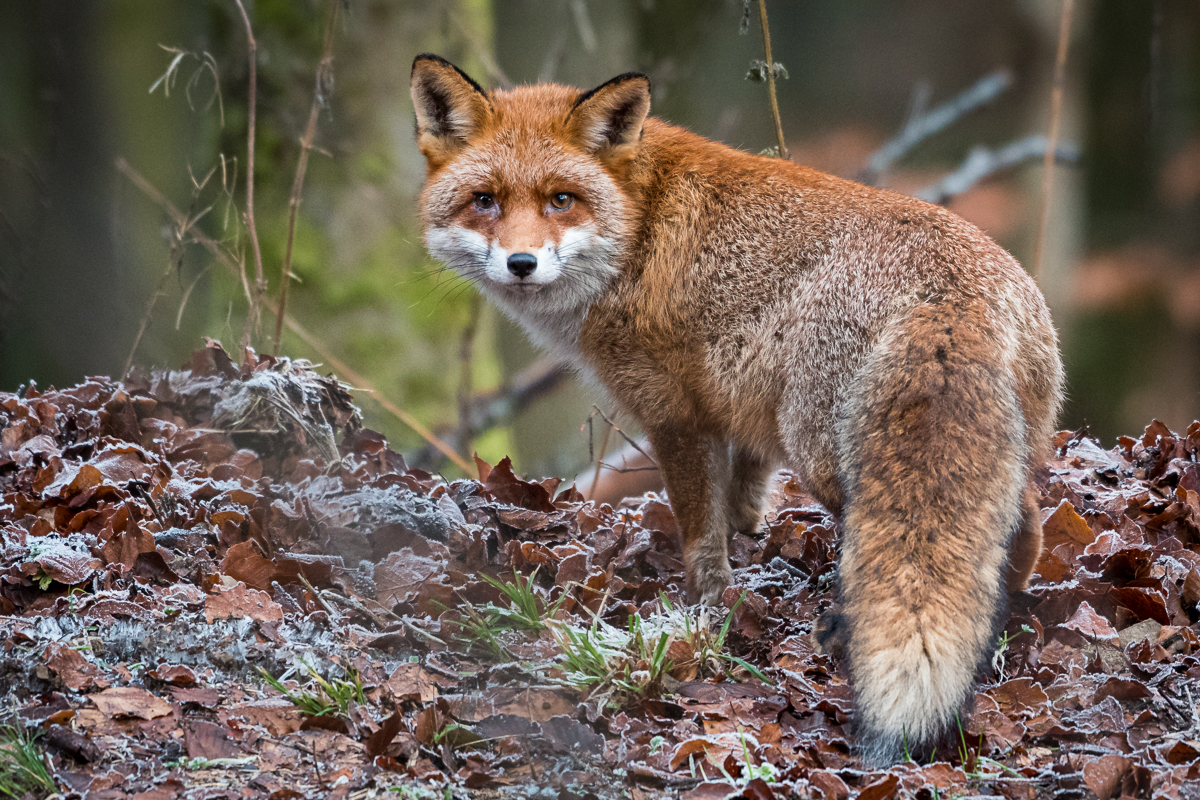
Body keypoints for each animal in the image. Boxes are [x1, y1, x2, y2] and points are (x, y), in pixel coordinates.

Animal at [410, 53, 1060, 767]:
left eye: (561, 199)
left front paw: (706, 607)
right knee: (1024, 522)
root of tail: (949, 297)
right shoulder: (742, 410)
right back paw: (1003, 619)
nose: (521, 263)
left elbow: (700, 531)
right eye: (485, 201)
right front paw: (752, 549)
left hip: (825, 452)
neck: (637, 229)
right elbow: (744, 502)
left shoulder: (672, 413)